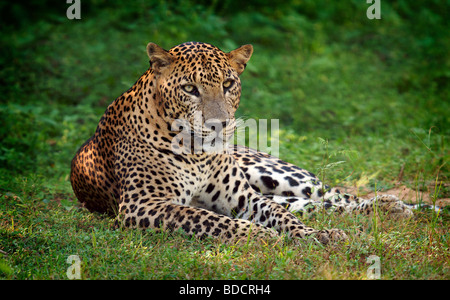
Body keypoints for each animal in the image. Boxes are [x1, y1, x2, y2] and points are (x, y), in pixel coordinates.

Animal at [71, 41, 414, 245]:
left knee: (330, 195)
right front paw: (262, 235)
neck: (197, 153)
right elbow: (207, 218)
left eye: (228, 84)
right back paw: (390, 208)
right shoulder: (144, 204)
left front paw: (314, 235)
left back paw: (394, 206)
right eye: (189, 88)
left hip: (274, 174)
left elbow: (281, 217)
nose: (218, 124)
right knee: (315, 204)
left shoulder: (244, 198)